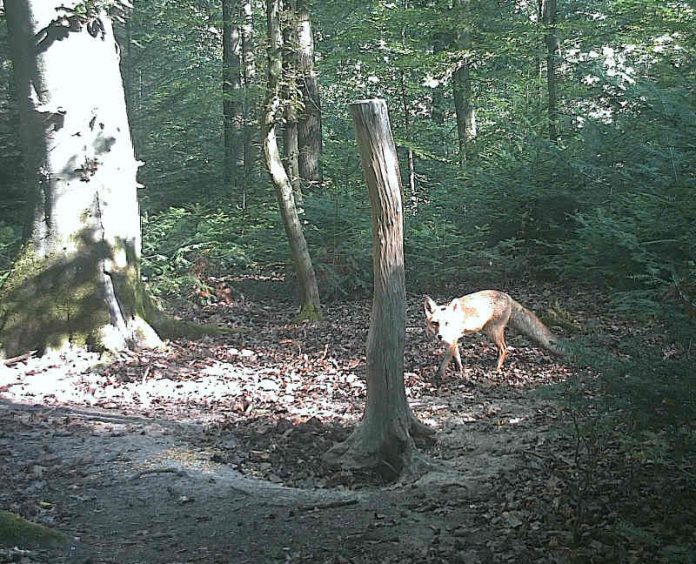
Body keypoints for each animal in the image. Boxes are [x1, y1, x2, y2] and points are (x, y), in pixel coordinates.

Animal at [422, 290, 564, 378]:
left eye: (447, 323)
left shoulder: (452, 340)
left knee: (504, 348)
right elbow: (456, 357)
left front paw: (438, 377)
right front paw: (459, 370)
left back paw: (496, 367)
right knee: (501, 348)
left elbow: (446, 360)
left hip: (492, 331)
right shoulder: (453, 340)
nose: (440, 336)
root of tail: (507, 296)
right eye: (435, 323)